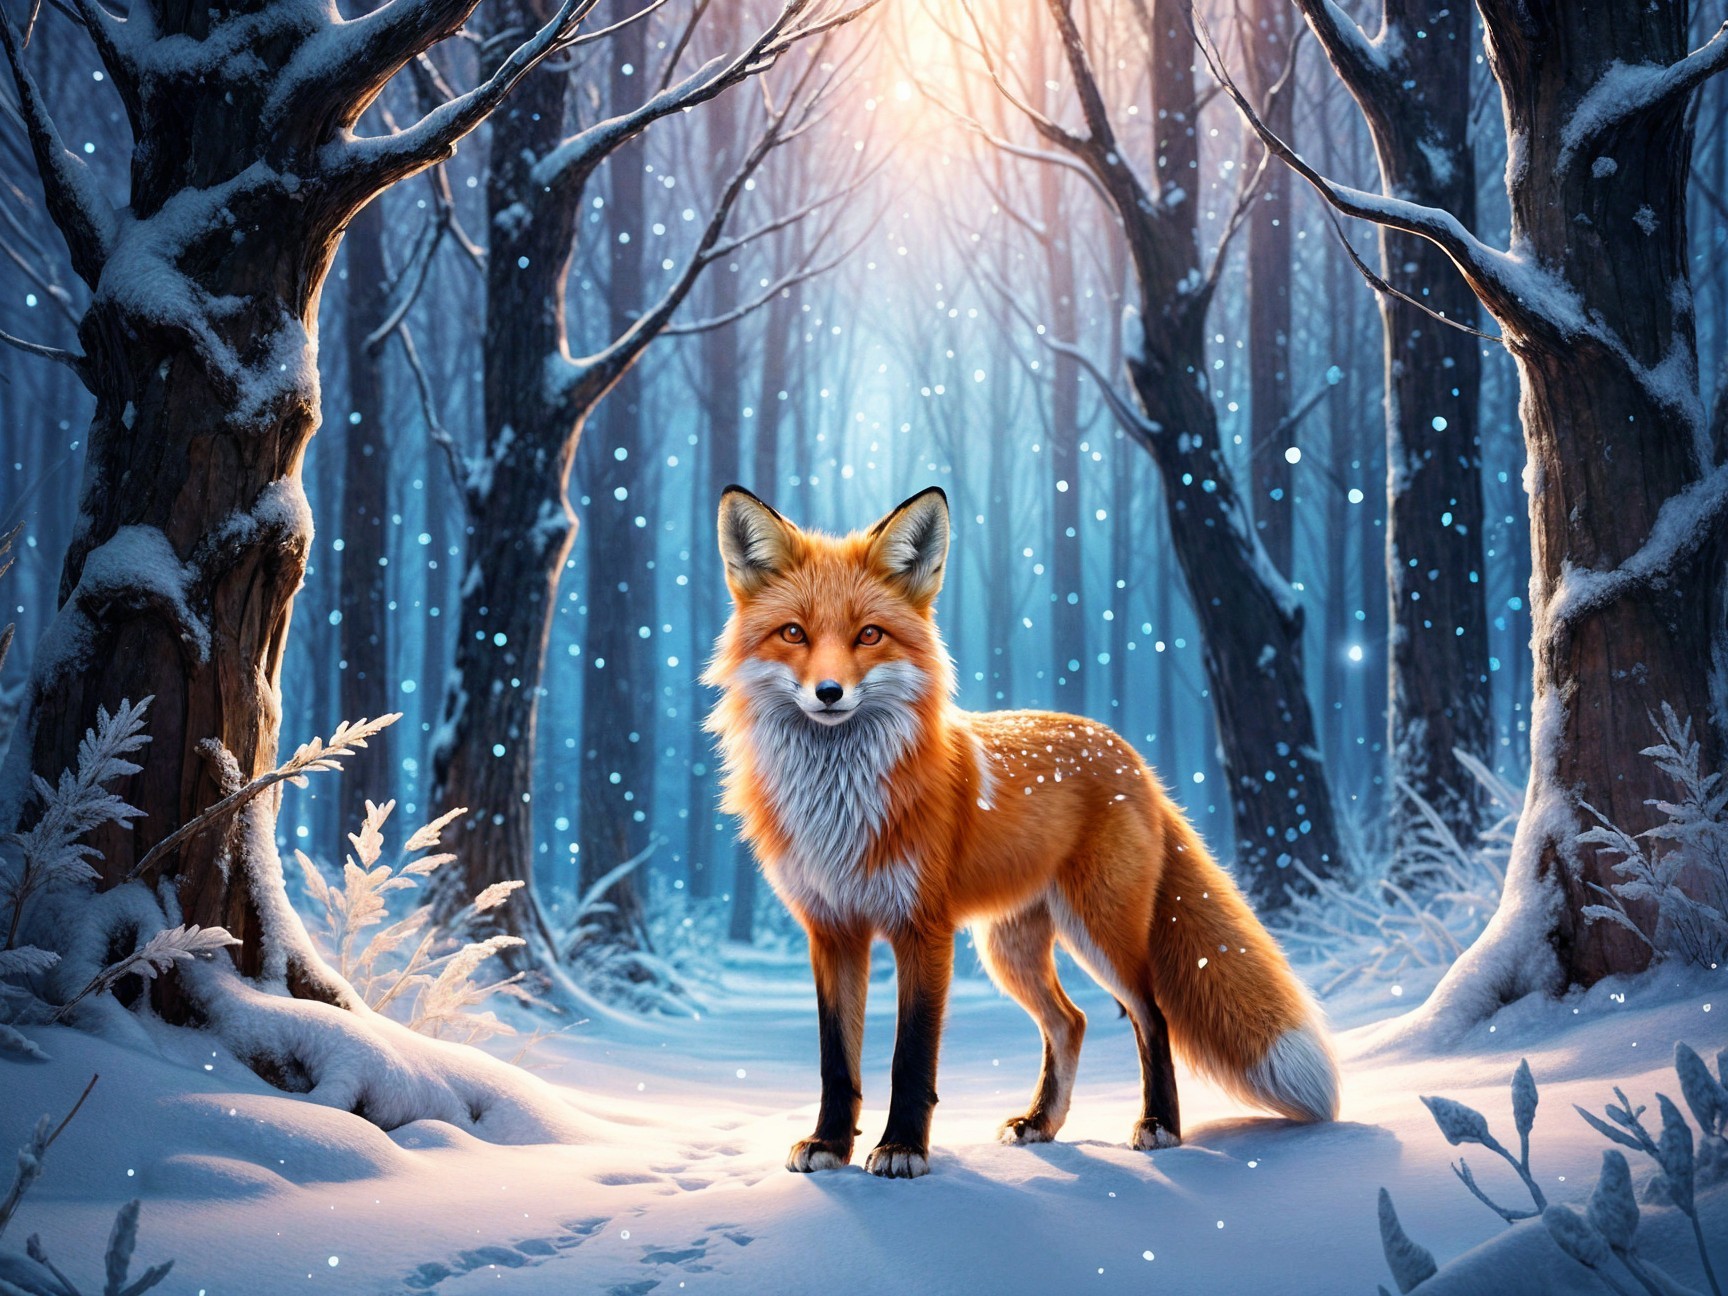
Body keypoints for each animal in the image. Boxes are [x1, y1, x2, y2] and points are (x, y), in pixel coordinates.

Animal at [704, 485, 1339, 1179]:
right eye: (793, 633)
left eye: (869, 635)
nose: (828, 692)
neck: (839, 809)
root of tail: (1129, 756)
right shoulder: (832, 931)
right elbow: (836, 1061)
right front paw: (830, 1143)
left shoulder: (922, 929)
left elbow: (910, 1058)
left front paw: (901, 1148)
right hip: (1009, 949)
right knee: (1071, 1022)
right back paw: (1042, 1122)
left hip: (1099, 932)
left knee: (1151, 1015)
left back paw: (1160, 1126)